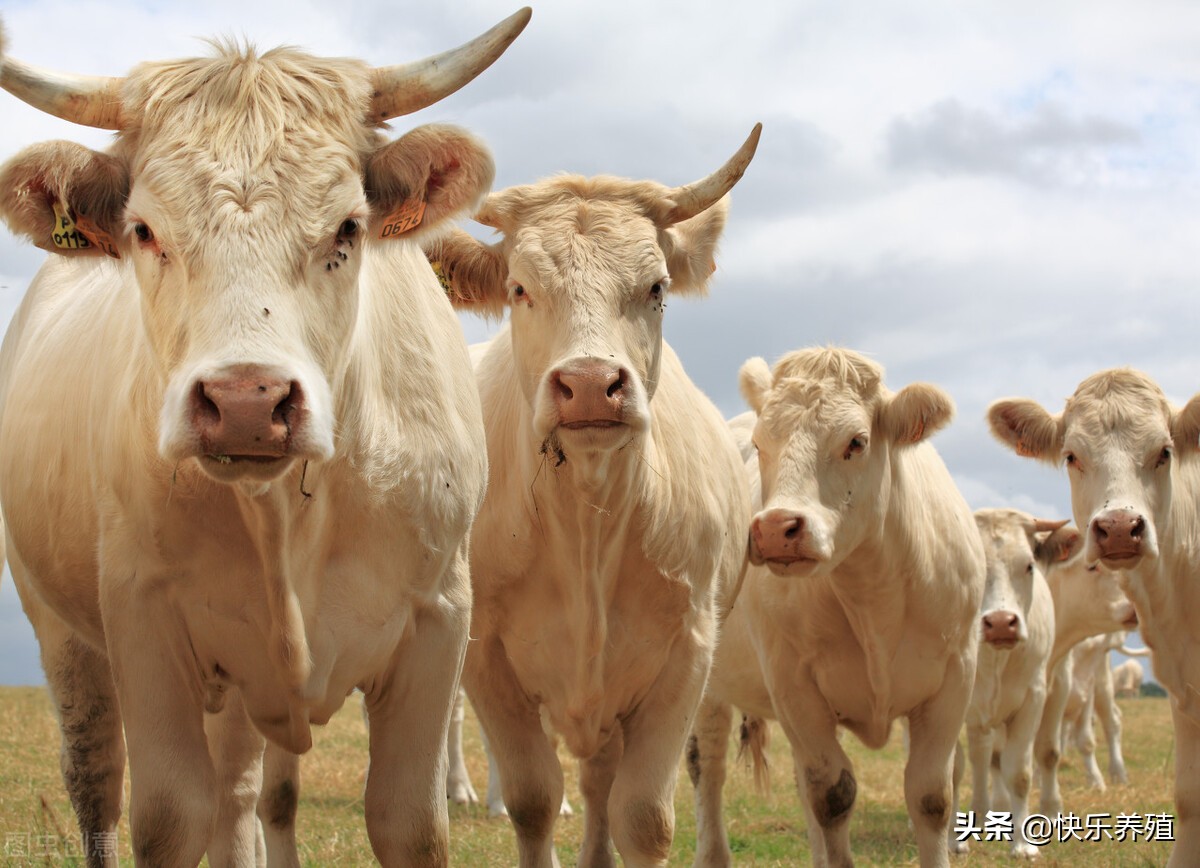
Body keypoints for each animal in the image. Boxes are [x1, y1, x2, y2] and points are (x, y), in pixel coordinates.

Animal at [0, 13, 530, 868]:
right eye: (144, 230)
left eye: (348, 227)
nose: (245, 403)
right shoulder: (143, 624)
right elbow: (170, 818)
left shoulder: (438, 622)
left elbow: (407, 821)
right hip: (65, 635)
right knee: (99, 786)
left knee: (239, 794)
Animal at [424, 125, 758, 864]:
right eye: (519, 288)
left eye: (656, 287)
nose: (587, 385)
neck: (586, 519)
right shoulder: (484, 656)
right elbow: (532, 799)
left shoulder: (686, 658)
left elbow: (643, 816)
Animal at [686, 350, 984, 868]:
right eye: (761, 444)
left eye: (856, 442)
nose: (774, 528)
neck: (874, 596)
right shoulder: (793, 683)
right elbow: (833, 794)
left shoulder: (954, 678)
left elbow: (931, 796)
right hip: (709, 681)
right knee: (710, 764)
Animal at [950, 509, 1075, 854]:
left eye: (1029, 565)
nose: (1001, 623)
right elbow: (951, 772)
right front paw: (952, 841)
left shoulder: (1033, 698)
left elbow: (1017, 771)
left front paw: (1022, 844)